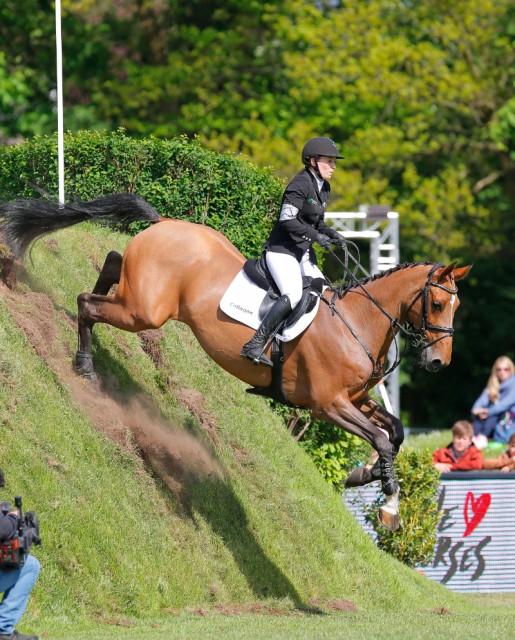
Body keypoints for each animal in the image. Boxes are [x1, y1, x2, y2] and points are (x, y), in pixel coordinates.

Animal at [0, 195, 472, 528]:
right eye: (435, 303)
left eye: (456, 305)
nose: (438, 363)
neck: (355, 322)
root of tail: (165, 223)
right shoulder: (329, 405)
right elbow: (381, 439)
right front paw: (389, 500)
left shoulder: (355, 399)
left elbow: (395, 433)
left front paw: (365, 476)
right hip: (143, 313)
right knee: (87, 302)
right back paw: (83, 364)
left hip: (139, 300)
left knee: (111, 265)